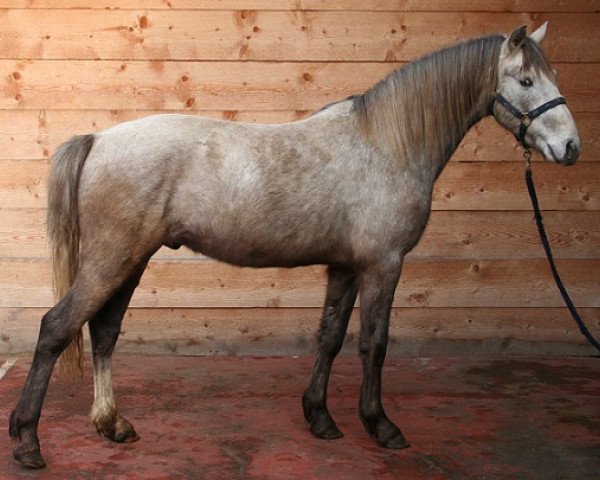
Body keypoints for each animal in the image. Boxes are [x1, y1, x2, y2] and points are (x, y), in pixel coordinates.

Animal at [9, 23, 580, 468]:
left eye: (552, 76)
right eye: (526, 80)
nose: (571, 147)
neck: (387, 144)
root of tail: (98, 140)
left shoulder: (346, 268)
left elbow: (329, 338)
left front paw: (321, 418)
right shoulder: (383, 265)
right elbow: (374, 344)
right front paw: (381, 426)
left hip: (130, 262)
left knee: (103, 333)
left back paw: (112, 424)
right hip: (112, 260)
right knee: (56, 328)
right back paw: (28, 441)